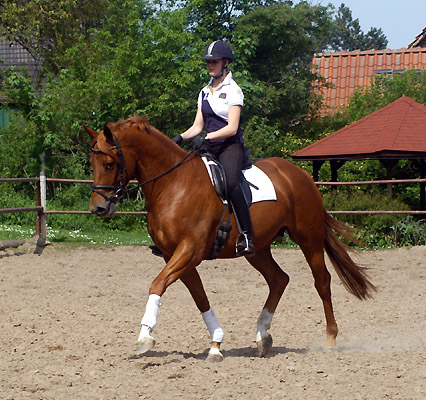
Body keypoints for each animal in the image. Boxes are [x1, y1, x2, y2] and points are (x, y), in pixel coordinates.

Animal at [85, 115, 374, 362]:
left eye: (110, 164)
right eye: (92, 163)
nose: (98, 209)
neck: (174, 184)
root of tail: (300, 174)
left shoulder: (190, 250)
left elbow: (157, 285)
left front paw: (145, 337)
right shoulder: (174, 255)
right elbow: (199, 297)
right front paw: (216, 344)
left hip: (308, 237)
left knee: (321, 281)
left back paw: (330, 340)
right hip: (257, 249)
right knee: (279, 279)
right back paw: (262, 336)